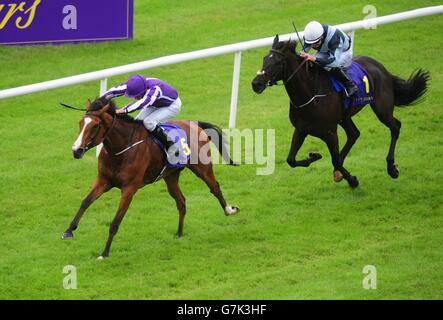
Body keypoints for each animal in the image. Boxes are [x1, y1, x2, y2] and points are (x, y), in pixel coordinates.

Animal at [62, 97, 239, 258]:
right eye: (80, 123)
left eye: (95, 126)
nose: (76, 150)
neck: (121, 149)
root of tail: (195, 124)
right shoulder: (103, 181)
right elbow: (85, 202)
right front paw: (69, 231)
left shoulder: (129, 188)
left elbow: (115, 222)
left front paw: (104, 253)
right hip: (171, 176)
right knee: (181, 202)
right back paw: (179, 233)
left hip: (202, 168)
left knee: (214, 187)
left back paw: (229, 210)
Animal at [253, 35, 430, 188]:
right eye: (264, 59)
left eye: (277, 62)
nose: (256, 83)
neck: (310, 95)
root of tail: (380, 67)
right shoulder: (302, 129)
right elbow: (291, 159)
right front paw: (315, 156)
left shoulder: (330, 132)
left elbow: (335, 160)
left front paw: (352, 180)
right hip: (344, 117)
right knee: (354, 134)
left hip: (382, 108)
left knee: (395, 127)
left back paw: (392, 168)